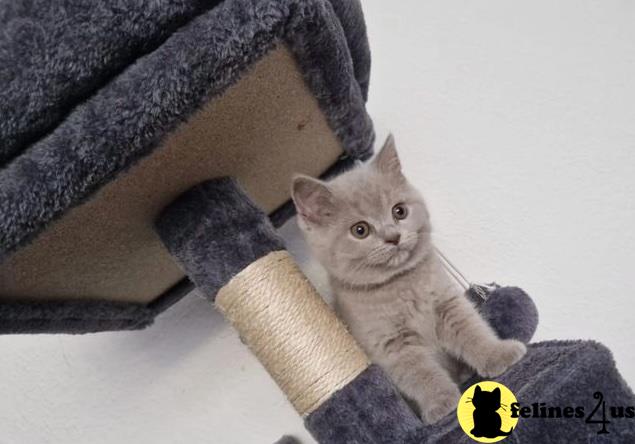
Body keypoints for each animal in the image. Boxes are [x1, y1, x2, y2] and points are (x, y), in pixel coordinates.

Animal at [294, 135, 528, 424]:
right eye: (360, 230)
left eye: (399, 211)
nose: (393, 236)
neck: (401, 284)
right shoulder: (390, 344)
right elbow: (421, 374)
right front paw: (442, 403)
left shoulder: (448, 304)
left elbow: (473, 331)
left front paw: (497, 354)